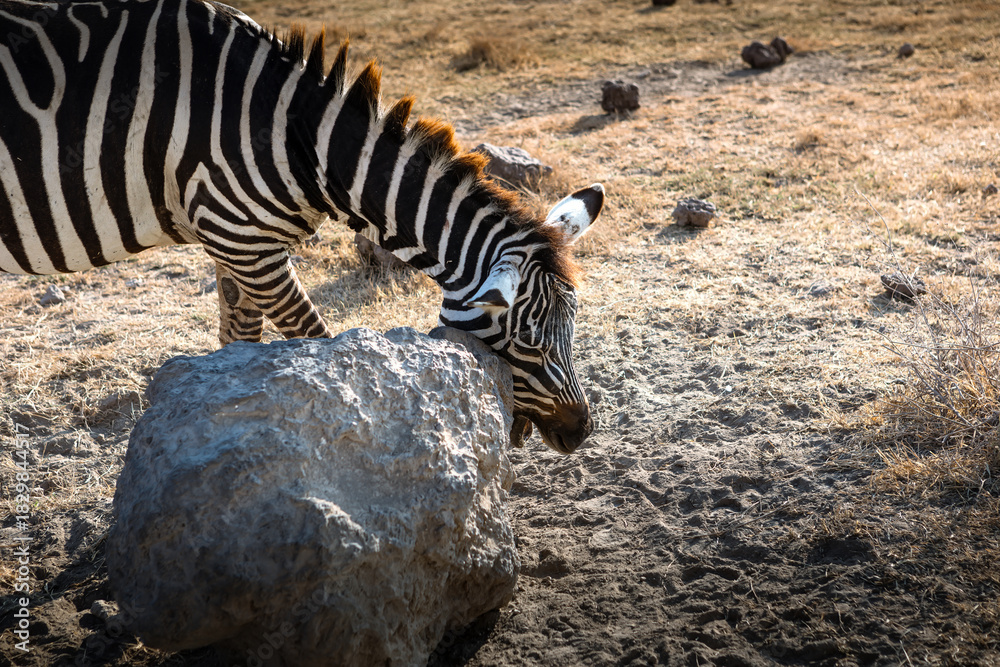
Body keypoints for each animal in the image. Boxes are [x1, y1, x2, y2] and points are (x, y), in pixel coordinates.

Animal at [0, 0, 605, 453]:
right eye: (527, 341)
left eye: (571, 332)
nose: (581, 434)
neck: (299, 138)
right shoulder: (245, 242)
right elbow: (315, 337)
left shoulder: (231, 242)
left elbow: (238, 342)